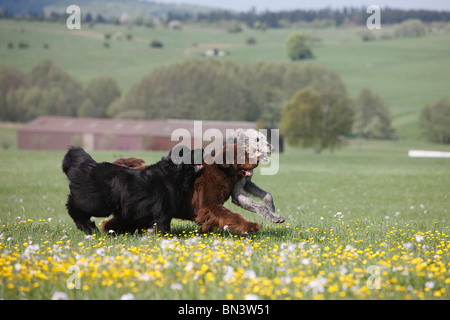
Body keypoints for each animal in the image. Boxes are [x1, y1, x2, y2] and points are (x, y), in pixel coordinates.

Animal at [61, 146, 204, 234]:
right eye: (190, 153)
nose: (202, 149)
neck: (173, 174)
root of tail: (88, 164)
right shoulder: (163, 211)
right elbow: (163, 226)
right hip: (97, 203)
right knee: (74, 208)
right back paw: (89, 227)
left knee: (71, 203)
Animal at [111, 144, 262, 234]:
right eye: (243, 155)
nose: (258, 160)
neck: (220, 171)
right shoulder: (209, 205)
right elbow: (232, 215)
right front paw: (251, 226)